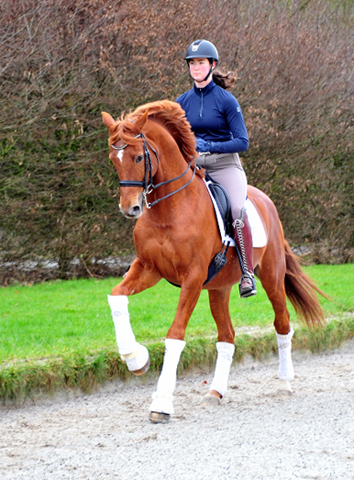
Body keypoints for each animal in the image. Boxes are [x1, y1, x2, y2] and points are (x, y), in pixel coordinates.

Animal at [101, 99, 324, 422]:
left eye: (138, 156)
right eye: (113, 159)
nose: (129, 208)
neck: (169, 209)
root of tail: (267, 202)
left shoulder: (192, 278)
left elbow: (175, 335)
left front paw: (161, 402)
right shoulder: (148, 268)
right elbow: (116, 297)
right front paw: (135, 358)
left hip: (271, 277)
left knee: (282, 324)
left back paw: (284, 383)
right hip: (218, 289)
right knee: (227, 337)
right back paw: (215, 392)